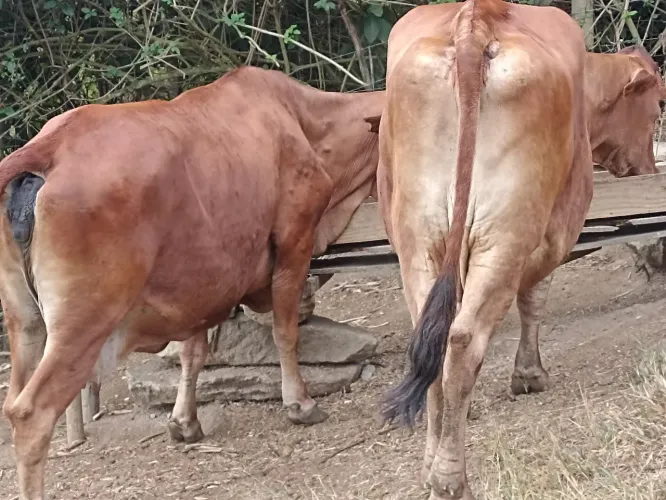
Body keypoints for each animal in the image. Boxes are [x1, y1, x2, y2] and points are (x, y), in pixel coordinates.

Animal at [0, 66, 384, 500]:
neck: (305, 122)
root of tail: (51, 146)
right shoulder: (294, 241)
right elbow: (285, 332)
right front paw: (299, 404)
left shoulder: (199, 285)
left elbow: (193, 353)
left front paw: (184, 422)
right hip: (83, 324)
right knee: (31, 414)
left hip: (25, 321)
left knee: (12, 399)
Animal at [371, 1, 663, 499]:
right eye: (658, 105)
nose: (648, 166)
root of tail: (474, 22)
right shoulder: (558, 228)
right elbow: (535, 297)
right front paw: (529, 374)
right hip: (507, 229)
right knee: (464, 339)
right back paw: (451, 479)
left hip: (418, 235)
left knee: (432, 339)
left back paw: (432, 466)